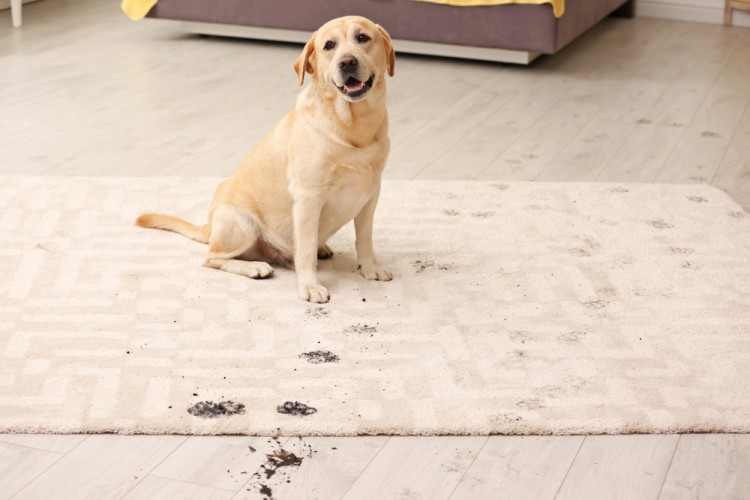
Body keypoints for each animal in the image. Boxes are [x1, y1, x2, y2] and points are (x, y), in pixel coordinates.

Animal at [136, 15, 396, 302]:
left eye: (362, 38)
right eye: (329, 45)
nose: (347, 61)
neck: (353, 128)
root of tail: (209, 226)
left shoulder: (370, 195)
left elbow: (365, 239)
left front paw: (370, 268)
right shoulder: (308, 198)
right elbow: (305, 250)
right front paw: (309, 285)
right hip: (242, 223)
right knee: (211, 258)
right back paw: (255, 268)